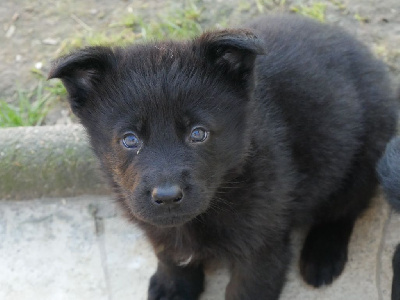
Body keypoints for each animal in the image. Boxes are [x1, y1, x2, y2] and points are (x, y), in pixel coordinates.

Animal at [49, 15, 396, 300]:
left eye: (198, 133)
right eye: (130, 139)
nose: (167, 196)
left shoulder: (262, 247)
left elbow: (246, 289)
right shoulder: (156, 222)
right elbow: (168, 252)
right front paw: (174, 286)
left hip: (365, 154)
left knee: (346, 207)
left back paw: (323, 254)